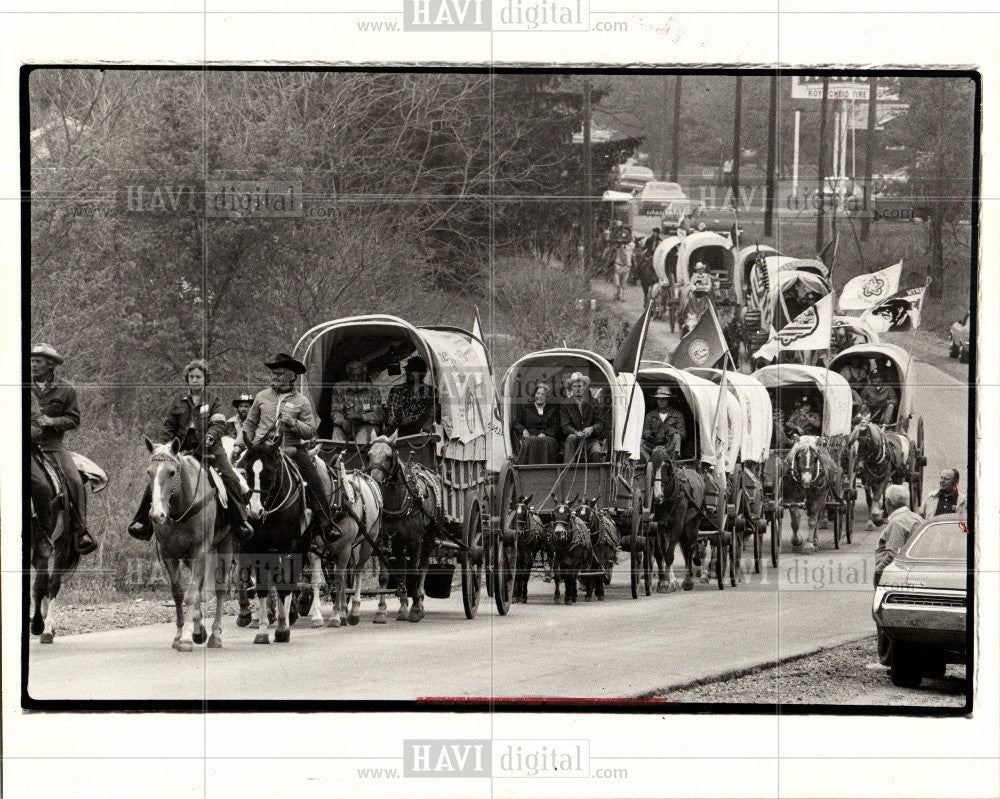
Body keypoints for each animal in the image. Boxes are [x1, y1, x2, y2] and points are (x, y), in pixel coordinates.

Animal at [144, 440, 233, 652]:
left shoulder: (200, 551)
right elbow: (179, 593)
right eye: (149, 472)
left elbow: (192, 595)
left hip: (225, 545)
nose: (157, 514)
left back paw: (215, 635)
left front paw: (186, 638)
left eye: (171, 472)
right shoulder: (168, 554)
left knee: (220, 589)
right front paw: (181, 635)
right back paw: (200, 628)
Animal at [300, 454, 382, 628]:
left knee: (357, 570)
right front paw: (317, 616)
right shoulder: (314, 549)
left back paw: (353, 612)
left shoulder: (344, 548)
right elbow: (317, 581)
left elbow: (339, 581)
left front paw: (335, 617)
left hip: (367, 542)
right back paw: (344, 610)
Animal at [360, 434, 438, 620]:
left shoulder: (416, 542)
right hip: (398, 543)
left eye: (389, 456)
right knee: (402, 567)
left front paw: (416, 609)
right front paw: (381, 610)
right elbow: (384, 576)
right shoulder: (382, 542)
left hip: (429, 537)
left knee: (423, 566)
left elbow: (415, 573)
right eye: (369, 456)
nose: (375, 480)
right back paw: (403, 606)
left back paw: (420, 599)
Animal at [644, 450, 708, 592]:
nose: (657, 497)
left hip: (694, 522)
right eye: (651, 470)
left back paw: (688, 580)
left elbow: (669, 555)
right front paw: (664, 581)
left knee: (690, 547)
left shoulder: (677, 526)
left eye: (667, 469)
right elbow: (660, 554)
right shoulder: (657, 526)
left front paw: (668, 581)